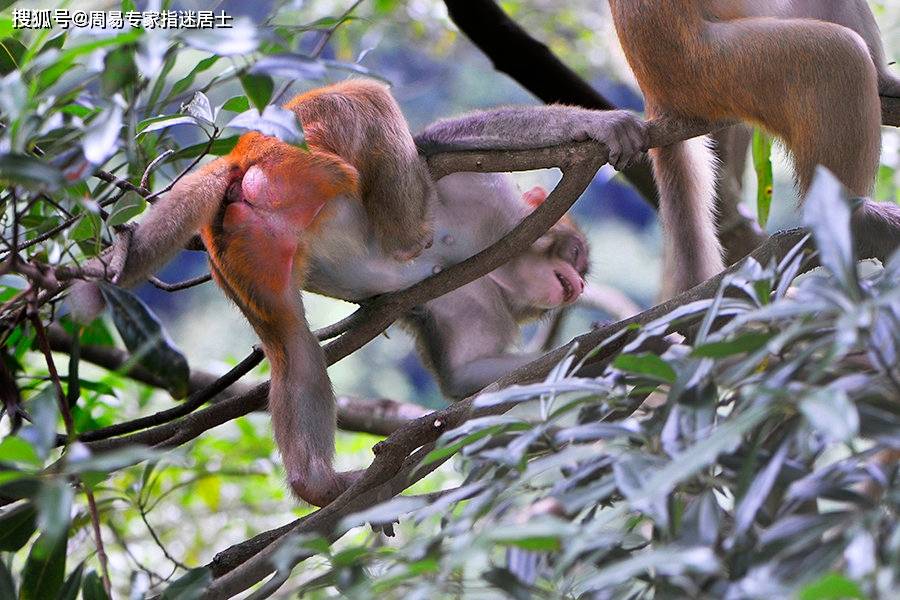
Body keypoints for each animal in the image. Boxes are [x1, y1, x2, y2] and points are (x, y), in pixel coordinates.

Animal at [70, 77, 648, 504]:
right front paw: (601, 124)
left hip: (246, 247)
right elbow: (448, 140)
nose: (578, 284)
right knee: (369, 98)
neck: (492, 268)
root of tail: (241, 153)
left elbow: (467, 374)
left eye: (580, 267)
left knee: (291, 347)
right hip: (310, 137)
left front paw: (600, 351)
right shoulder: (488, 199)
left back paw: (317, 485)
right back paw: (407, 235)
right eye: (573, 254)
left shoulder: (469, 303)